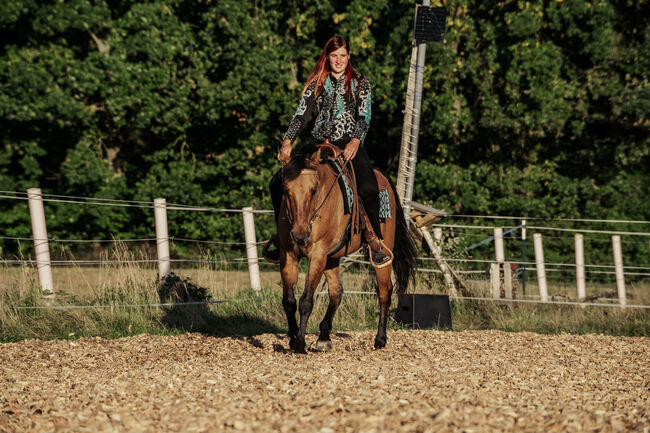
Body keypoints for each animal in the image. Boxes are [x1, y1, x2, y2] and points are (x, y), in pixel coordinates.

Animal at [274, 147, 416, 352]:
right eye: (286, 190)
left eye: (313, 190)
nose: (300, 235)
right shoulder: (289, 255)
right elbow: (289, 301)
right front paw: (293, 339)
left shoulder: (317, 255)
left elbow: (306, 301)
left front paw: (300, 342)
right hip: (331, 258)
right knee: (336, 292)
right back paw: (324, 337)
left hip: (382, 252)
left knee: (384, 292)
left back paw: (380, 339)